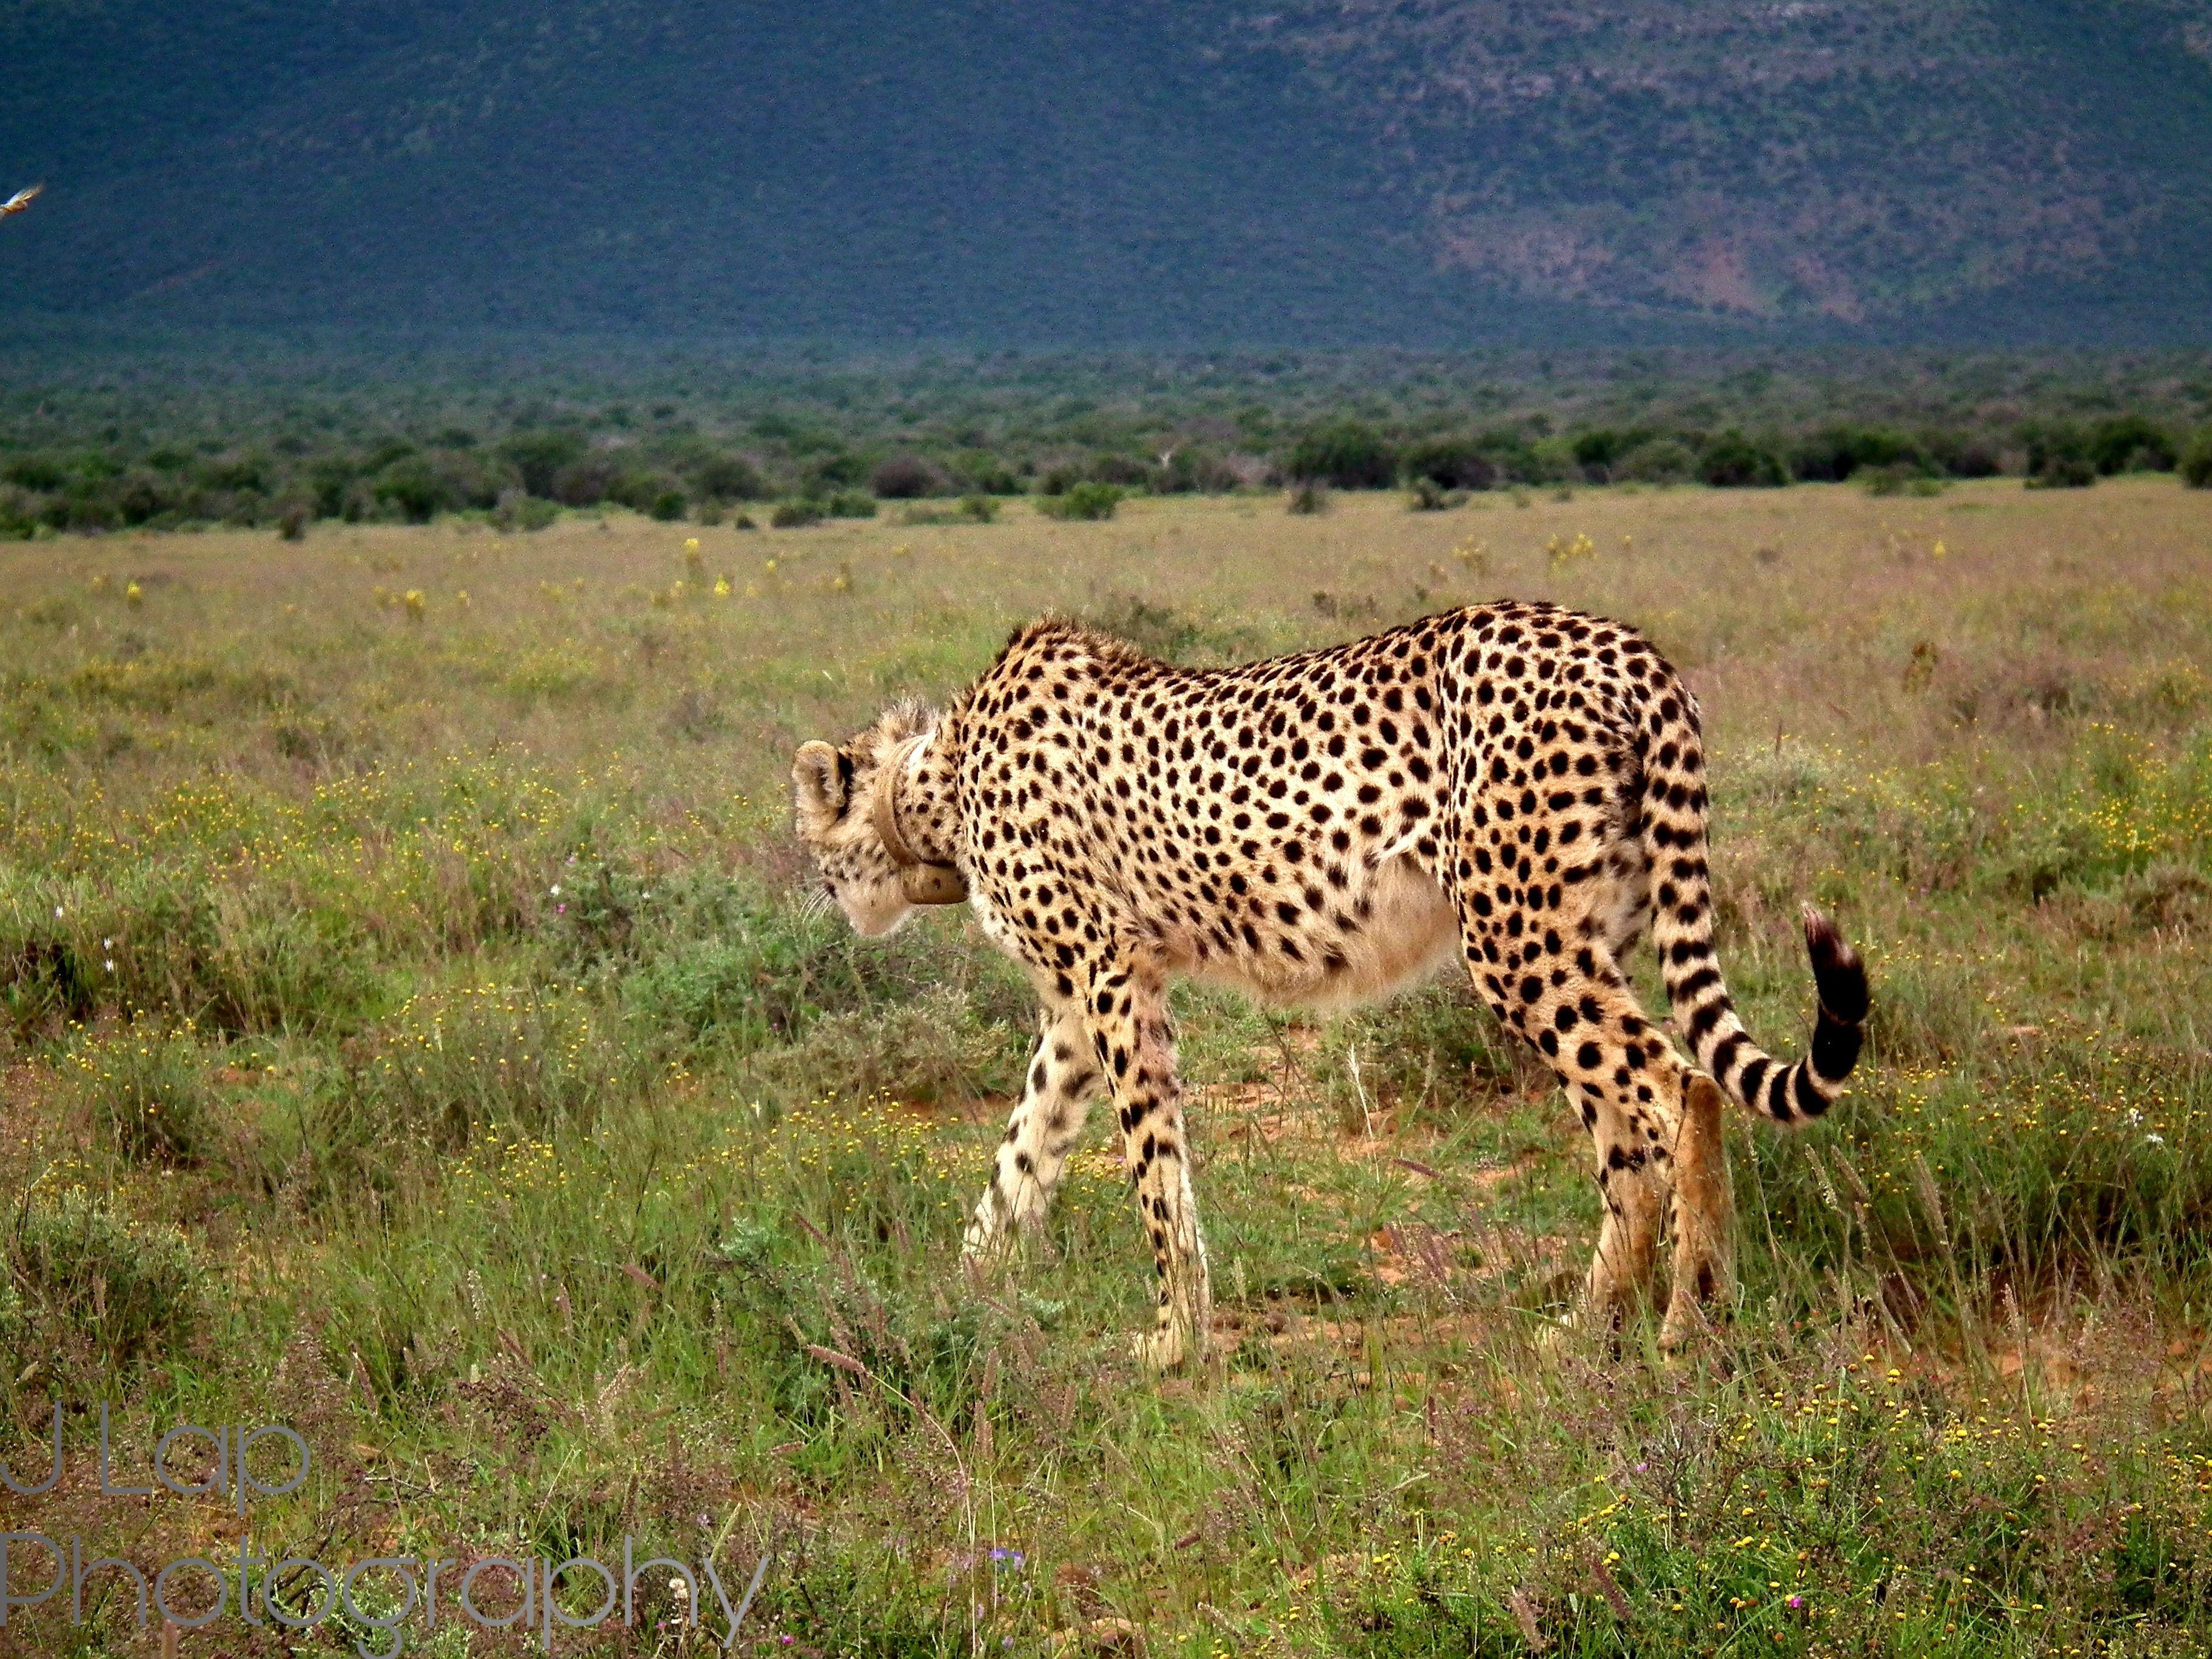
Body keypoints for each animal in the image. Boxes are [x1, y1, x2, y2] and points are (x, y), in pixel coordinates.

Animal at [791, 600, 1868, 1367]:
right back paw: (1586, 1328)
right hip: (1578, 936)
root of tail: (1619, 643)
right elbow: (1023, 1151)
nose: (826, 897)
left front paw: (1175, 1340)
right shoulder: (1076, 1006)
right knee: (1627, 1144)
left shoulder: (1112, 980)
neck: (934, 787)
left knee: (1682, 1086)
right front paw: (964, 1291)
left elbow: (1152, 1170)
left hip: (1517, 939)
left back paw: (1691, 1321)